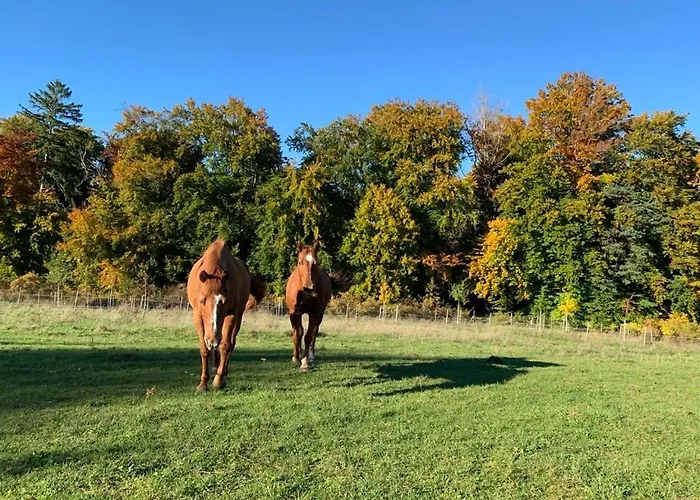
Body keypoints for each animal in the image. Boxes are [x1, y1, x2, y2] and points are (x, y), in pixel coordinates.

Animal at [187, 238, 265, 391]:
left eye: (224, 301)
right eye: (202, 300)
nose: (212, 339)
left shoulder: (231, 314)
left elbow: (225, 345)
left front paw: (218, 380)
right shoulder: (197, 315)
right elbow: (204, 349)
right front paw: (203, 383)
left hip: (238, 317)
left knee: (229, 343)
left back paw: (222, 373)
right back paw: (215, 367)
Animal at [285, 239, 332, 372]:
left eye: (315, 263)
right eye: (300, 262)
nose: (309, 287)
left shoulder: (314, 313)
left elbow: (308, 336)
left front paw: (304, 363)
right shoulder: (294, 313)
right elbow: (297, 334)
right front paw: (296, 358)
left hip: (320, 314)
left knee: (315, 332)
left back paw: (310, 355)